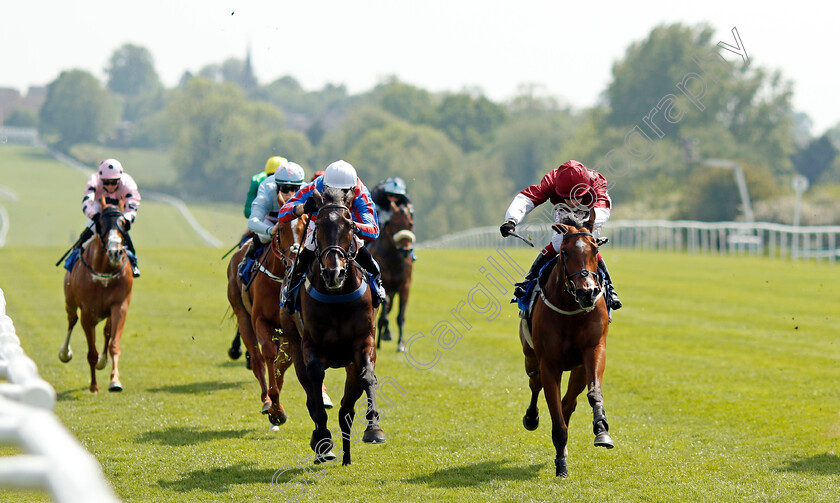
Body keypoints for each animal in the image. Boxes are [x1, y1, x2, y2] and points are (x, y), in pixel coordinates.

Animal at [60, 205, 134, 394]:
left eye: (123, 224)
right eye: (101, 224)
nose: (115, 253)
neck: (104, 273)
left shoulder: (119, 306)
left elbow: (114, 344)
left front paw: (115, 381)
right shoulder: (87, 313)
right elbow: (91, 352)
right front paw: (93, 386)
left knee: (107, 331)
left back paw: (103, 361)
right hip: (70, 300)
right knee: (72, 320)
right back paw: (64, 353)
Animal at [226, 197, 332, 426]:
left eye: (305, 226)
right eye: (281, 230)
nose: (295, 258)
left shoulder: (293, 326)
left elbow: (284, 362)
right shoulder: (260, 320)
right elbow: (268, 354)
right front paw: (275, 407)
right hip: (243, 316)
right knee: (257, 359)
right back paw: (266, 399)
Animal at [282, 187, 388, 466]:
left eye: (350, 225)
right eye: (318, 224)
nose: (334, 273)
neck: (338, 295)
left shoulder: (364, 344)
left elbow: (368, 376)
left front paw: (374, 429)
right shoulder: (310, 346)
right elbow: (316, 382)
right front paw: (322, 439)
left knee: (345, 409)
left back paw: (347, 456)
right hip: (295, 346)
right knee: (312, 395)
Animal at [370, 200, 416, 350]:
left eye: (410, 224)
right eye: (395, 224)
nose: (405, 250)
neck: (394, 258)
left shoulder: (404, 286)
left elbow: (400, 316)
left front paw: (401, 344)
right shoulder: (382, 284)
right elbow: (384, 313)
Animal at [516, 211, 612, 478]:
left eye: (594, 250)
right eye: (565, 252)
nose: (587, 292)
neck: (571, 308)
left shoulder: (594, 350)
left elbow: (592, 393)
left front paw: (602, 430)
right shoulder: (549, 363)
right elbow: (555, 414)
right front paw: (561, 466)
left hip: (577, 369)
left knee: (569, 402)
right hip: (530, 356)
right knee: (535, 384)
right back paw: (532, 418)